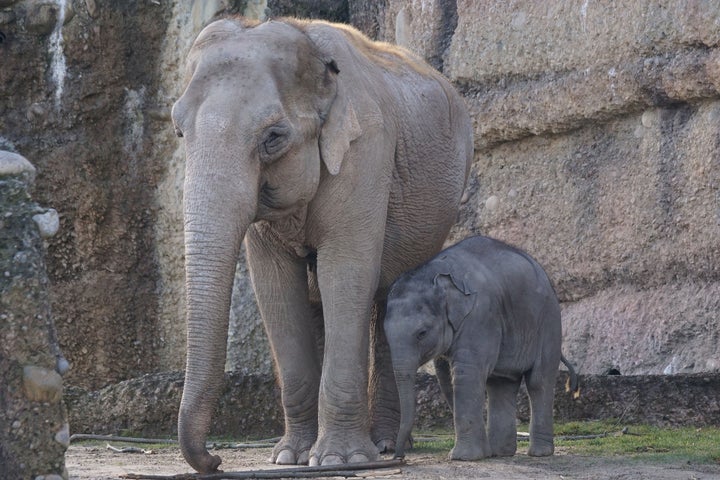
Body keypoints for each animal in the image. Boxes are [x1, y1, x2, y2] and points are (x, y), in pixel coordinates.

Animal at [171, 16, 473, 472]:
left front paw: (338, 459)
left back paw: (383, 446)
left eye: (273, 137)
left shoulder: (366, 152)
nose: (216, 459)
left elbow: (344, 273)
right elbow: (275, 287)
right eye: (178, 130)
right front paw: (289, 457)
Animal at [384, 235, 574, 461]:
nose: (398, 457)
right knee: (501, 384)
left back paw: (539, 453)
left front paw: (463, 457)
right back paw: (500, 452)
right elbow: (449, 377)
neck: (437, 272)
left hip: (549, 323)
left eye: (422, 333)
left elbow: (466, 373)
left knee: (539, 381)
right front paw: (481, 453)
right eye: (386, 334)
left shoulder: (480, 315)